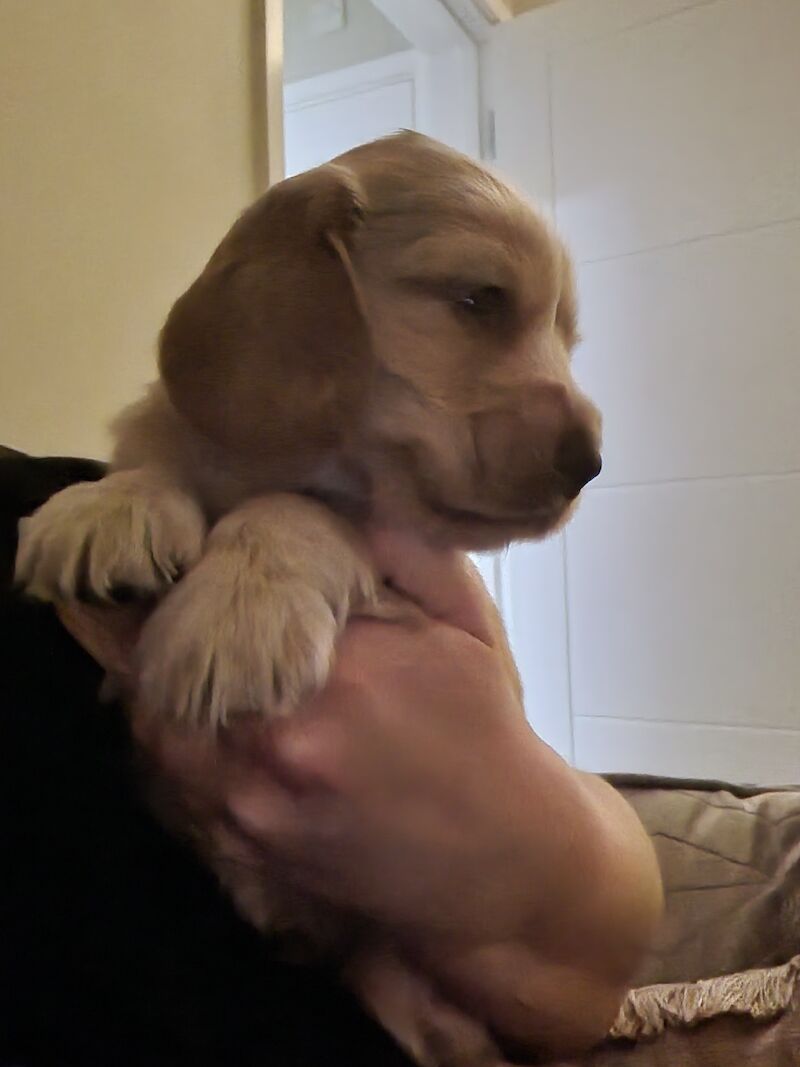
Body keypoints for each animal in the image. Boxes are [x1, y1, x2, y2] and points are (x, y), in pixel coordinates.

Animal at [14, 135, 601, 1067]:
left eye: (566, 336)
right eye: (478, 300)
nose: (592, 464)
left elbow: (305, 512)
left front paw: (235, 612)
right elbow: (157, 455)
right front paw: (110, 506)